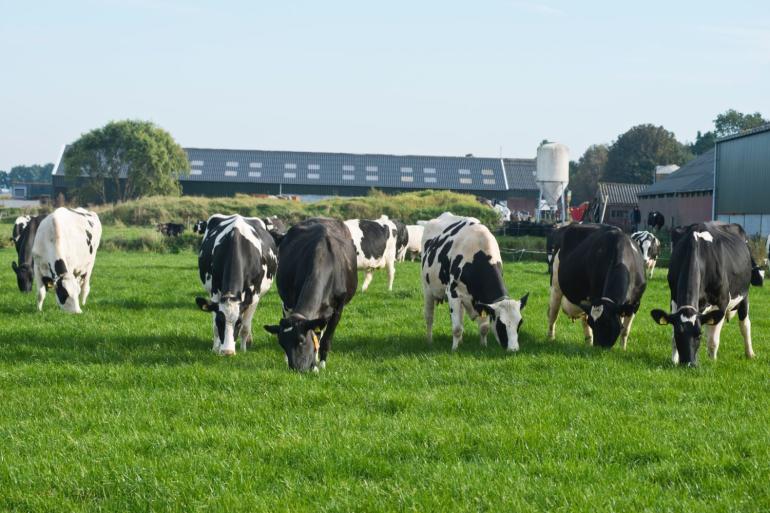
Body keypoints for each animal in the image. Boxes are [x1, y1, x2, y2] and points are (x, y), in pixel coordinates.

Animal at [194, 214, 278, 354]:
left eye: (238, 323)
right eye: (220, 322)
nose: (227, 352)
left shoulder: (254, 297)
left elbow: (245, 327)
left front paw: (243, 350)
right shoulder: (214, 293)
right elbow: (214, 327)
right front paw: (215, 349)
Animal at [264, 217, 356, 372]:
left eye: (301, 341)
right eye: (282, 343)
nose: (295, 369)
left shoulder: (339, 307)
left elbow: (325, 338)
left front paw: (321, 364)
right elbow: (315, 334)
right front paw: (313, 365)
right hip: (286, 302)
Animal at [420, 212, 528, 352]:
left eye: (520, 323)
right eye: (501, 324)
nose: (513, 349)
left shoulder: (483, 300)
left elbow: (484, 327)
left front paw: (483, 346)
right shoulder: (453, 294)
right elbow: (456, 328)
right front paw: (454, 350)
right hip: (427, 289)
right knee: (429, 317)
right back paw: (429, 341)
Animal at [652, 220, 760, 364]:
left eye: (699, 335)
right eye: (678, 333)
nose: (688, 363)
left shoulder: (721, 303)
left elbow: (713, 340)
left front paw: (712, 362)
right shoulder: (674, 299)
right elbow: (674, 339)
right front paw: (674, 360)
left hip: (744, 294)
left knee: (745, 325)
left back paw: (750, 353)